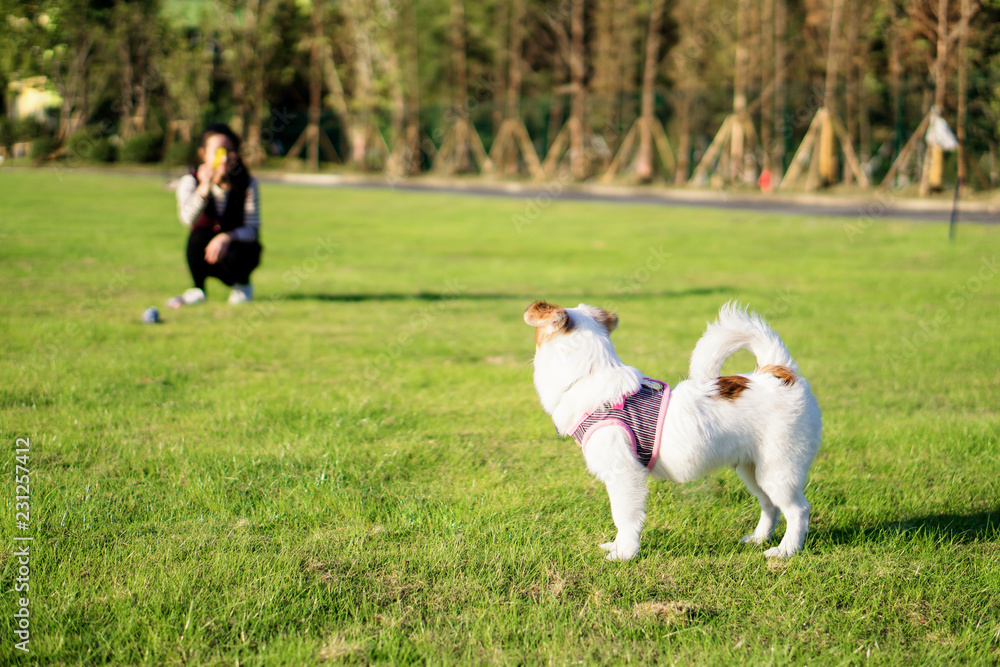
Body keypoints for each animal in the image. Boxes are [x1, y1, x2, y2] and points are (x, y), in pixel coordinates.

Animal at [524, 302, 820, 560]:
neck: (589, 378)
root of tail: (778, 371)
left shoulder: (624, 475)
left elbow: (624, 517)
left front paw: (625, 554)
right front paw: (617, 547)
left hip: (779, 469)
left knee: (797, 509)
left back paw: (786, 551)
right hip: (753, 470)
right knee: (770, 505)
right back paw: (760, 539)